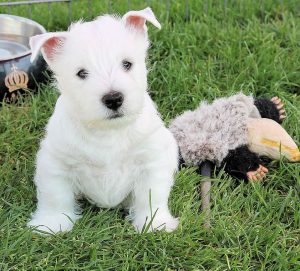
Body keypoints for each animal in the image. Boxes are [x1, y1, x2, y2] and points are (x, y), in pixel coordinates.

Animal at [27, 7, 178, 235]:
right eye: (81, 73)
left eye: (127, 64)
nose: (113, 99)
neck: (108, 131)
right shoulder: (56, 163)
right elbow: (55, 196)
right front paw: (52, 224)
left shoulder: (150, 160)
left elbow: (151, 195)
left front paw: (154, 223)